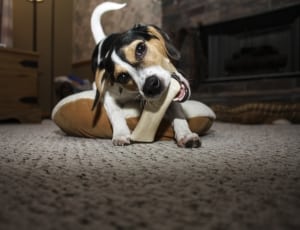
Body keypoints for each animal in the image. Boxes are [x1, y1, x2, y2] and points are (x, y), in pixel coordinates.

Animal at [90, 1, 200, 147]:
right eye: (122, 77)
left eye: (140, 48)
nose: (151, 86)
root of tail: (103, 40)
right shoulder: (109, 95)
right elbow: (116, 113)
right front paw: (120, 134)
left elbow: (177, 112)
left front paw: (186, 134)